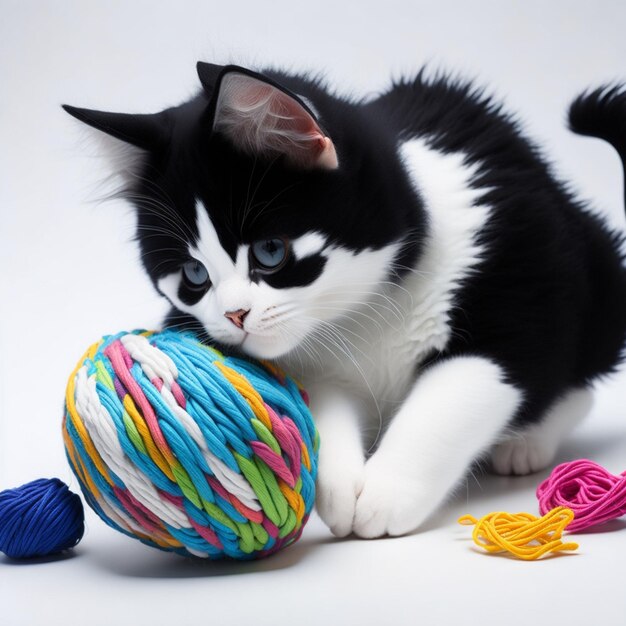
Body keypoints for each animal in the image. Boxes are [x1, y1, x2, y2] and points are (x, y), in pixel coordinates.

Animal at [63, 63, 624, 536]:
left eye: (270, 252)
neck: (371, 306)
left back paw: (526, 440)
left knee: (576, 374)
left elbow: (452, 397)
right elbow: (326, 402)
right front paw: (335, 486)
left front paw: (387, 491)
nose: (234, 315)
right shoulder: (317, 364)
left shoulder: (514, 282)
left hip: (589, 271)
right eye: (193, 275)